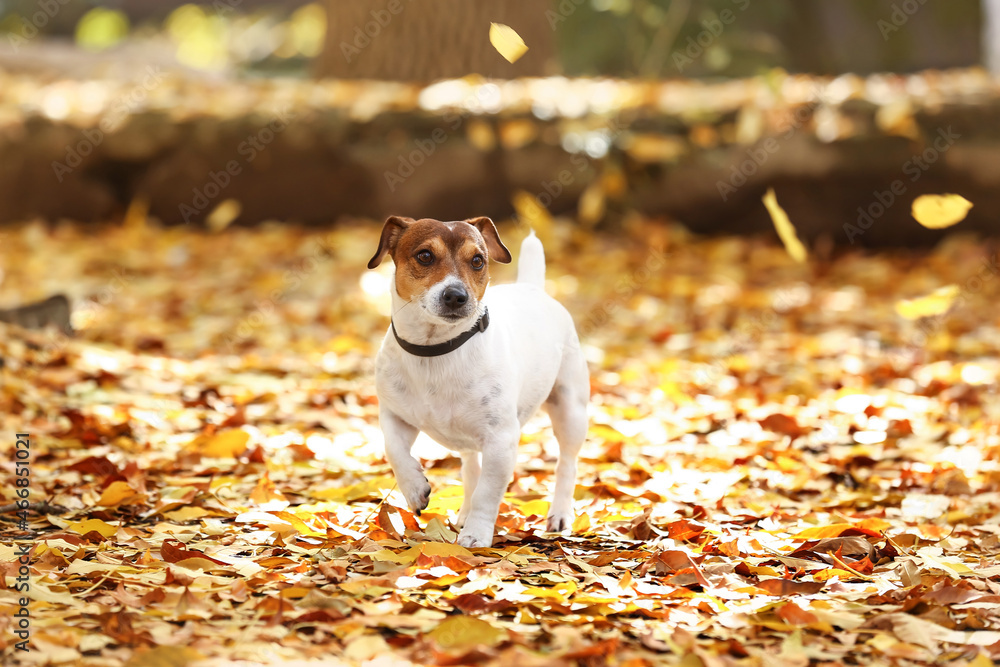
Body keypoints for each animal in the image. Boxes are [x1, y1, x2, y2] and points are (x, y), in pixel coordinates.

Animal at [368, 218, 588, 548]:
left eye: (477, 261)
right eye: (424, 256)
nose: (456, 296)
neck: (435, 351)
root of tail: (532, 287)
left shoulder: (501, 440)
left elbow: (488, 492)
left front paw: (476, 535)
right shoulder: (395, 416)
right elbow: (394, 450)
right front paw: (415, 489)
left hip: (570, 409)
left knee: (567, 464)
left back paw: (559, 514)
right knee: (471, 467)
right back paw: (463, 512)